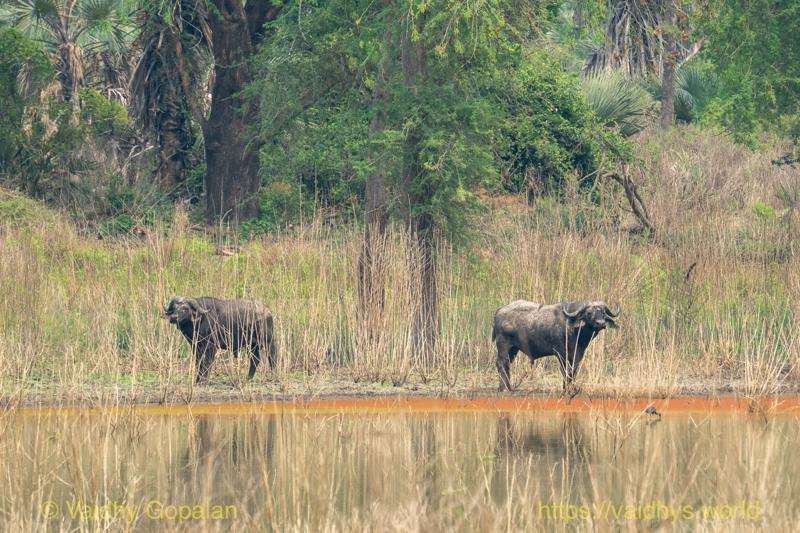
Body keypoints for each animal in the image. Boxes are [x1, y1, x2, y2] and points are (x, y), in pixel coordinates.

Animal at [492, 300, 620, 394]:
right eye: (589, 313)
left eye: (603, 313)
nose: (601, 323)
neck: (574, 330)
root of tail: (499, 311)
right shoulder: (561, 353)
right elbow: (565, 370)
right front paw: (565, 389)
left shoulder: (578, 354)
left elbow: (573, 371)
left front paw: (572, 388)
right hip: (503, 344)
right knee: (501, 363)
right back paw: (504, 389)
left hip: (514, 348)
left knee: (507, 364)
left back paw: (508, 387)